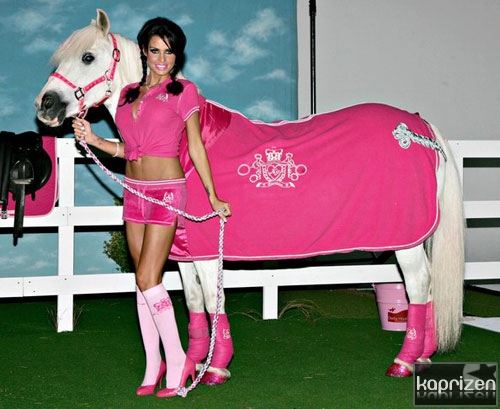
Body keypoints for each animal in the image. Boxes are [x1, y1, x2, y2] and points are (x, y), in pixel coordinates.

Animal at [35, 9, 465, 380]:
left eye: (88, 56)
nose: (46, 105)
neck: (186, 150)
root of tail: (417, 127)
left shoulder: (209, 251)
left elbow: (213, 302)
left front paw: (216, 368)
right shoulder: (186, 252)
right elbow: (193, 303)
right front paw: (191, 366)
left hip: (407, 242)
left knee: (419, 286)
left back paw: (404, 362)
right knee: (426, 291)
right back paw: (423, 357)